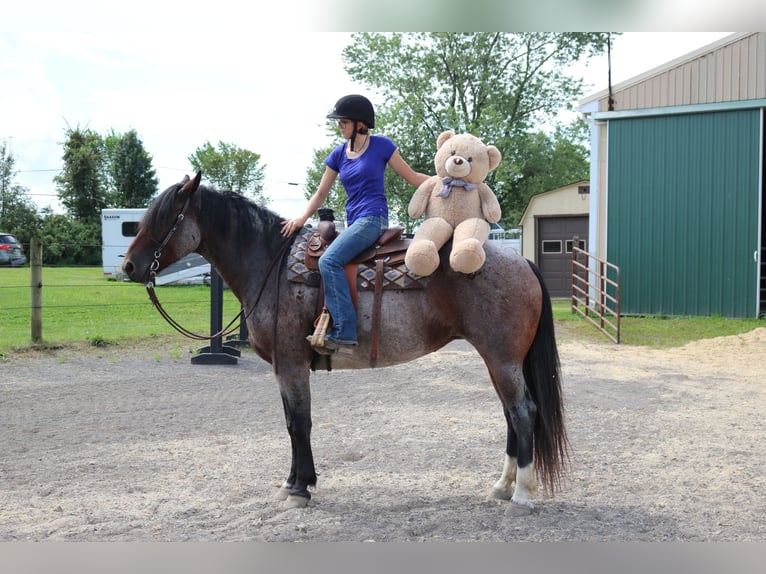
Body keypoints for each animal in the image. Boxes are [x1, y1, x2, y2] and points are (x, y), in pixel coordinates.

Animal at [122, 172, 568, 514]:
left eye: (166, 217)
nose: (129, 266)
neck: (271, 264)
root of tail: (521, 260)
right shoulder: (285, 367)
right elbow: (292, 423)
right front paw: (293, 482)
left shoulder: (291, 365)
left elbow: (298, 423)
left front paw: (300, 488)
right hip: (499, 361)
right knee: (511, 414)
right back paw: (501, 487)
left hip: (502, 359)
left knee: (523, 413)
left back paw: (522, 494)